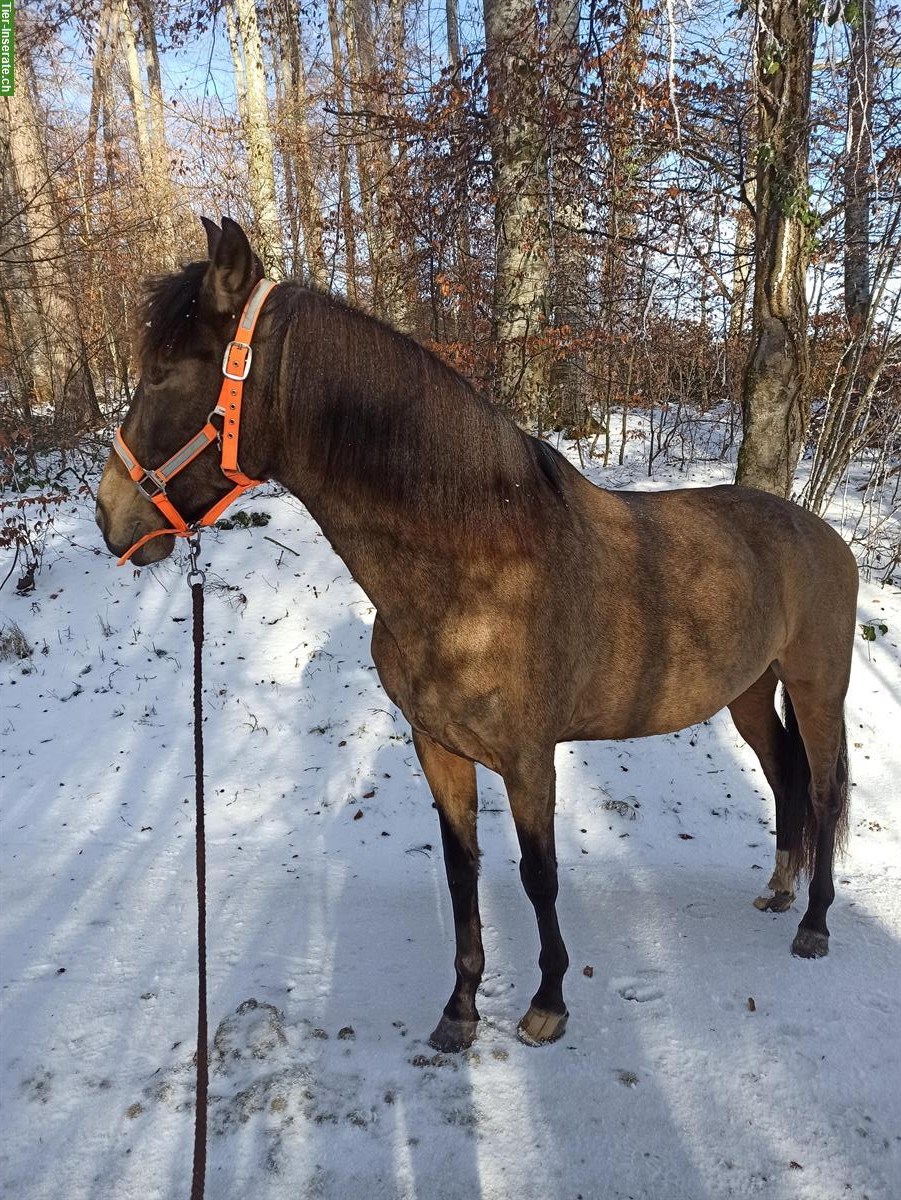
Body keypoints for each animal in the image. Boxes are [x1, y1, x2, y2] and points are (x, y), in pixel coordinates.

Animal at [97, 220, 859, 1056]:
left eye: (167, 373)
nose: (110, 516)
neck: (475, 564)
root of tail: (821, 532)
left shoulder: (528, 758)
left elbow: (537, 874)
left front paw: (547, 1003)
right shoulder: (436, 746)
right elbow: (462, 871)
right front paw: (459, 1010)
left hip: (816, 686)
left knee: (823, 790)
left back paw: (815, 924)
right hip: (749, 692)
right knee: (784, 777)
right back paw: (779, 891)